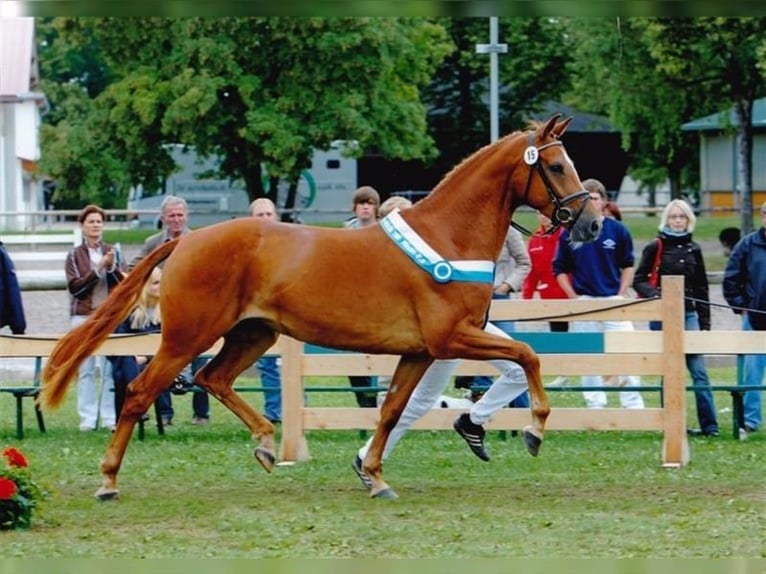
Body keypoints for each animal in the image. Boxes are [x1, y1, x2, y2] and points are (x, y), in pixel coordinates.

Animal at [41, 114, 602, 500]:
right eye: (556, 166)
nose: (590, 223)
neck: (448, 238)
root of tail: (185, 240)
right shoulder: (451, 338)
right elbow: (528, 355)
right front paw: (533, 430)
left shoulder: (421, 351)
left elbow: (391, 410)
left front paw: (375, 476)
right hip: (187, 337)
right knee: (140, 392)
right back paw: (108, 481)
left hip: (253, 334)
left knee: (211, 378)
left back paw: (267, 444)